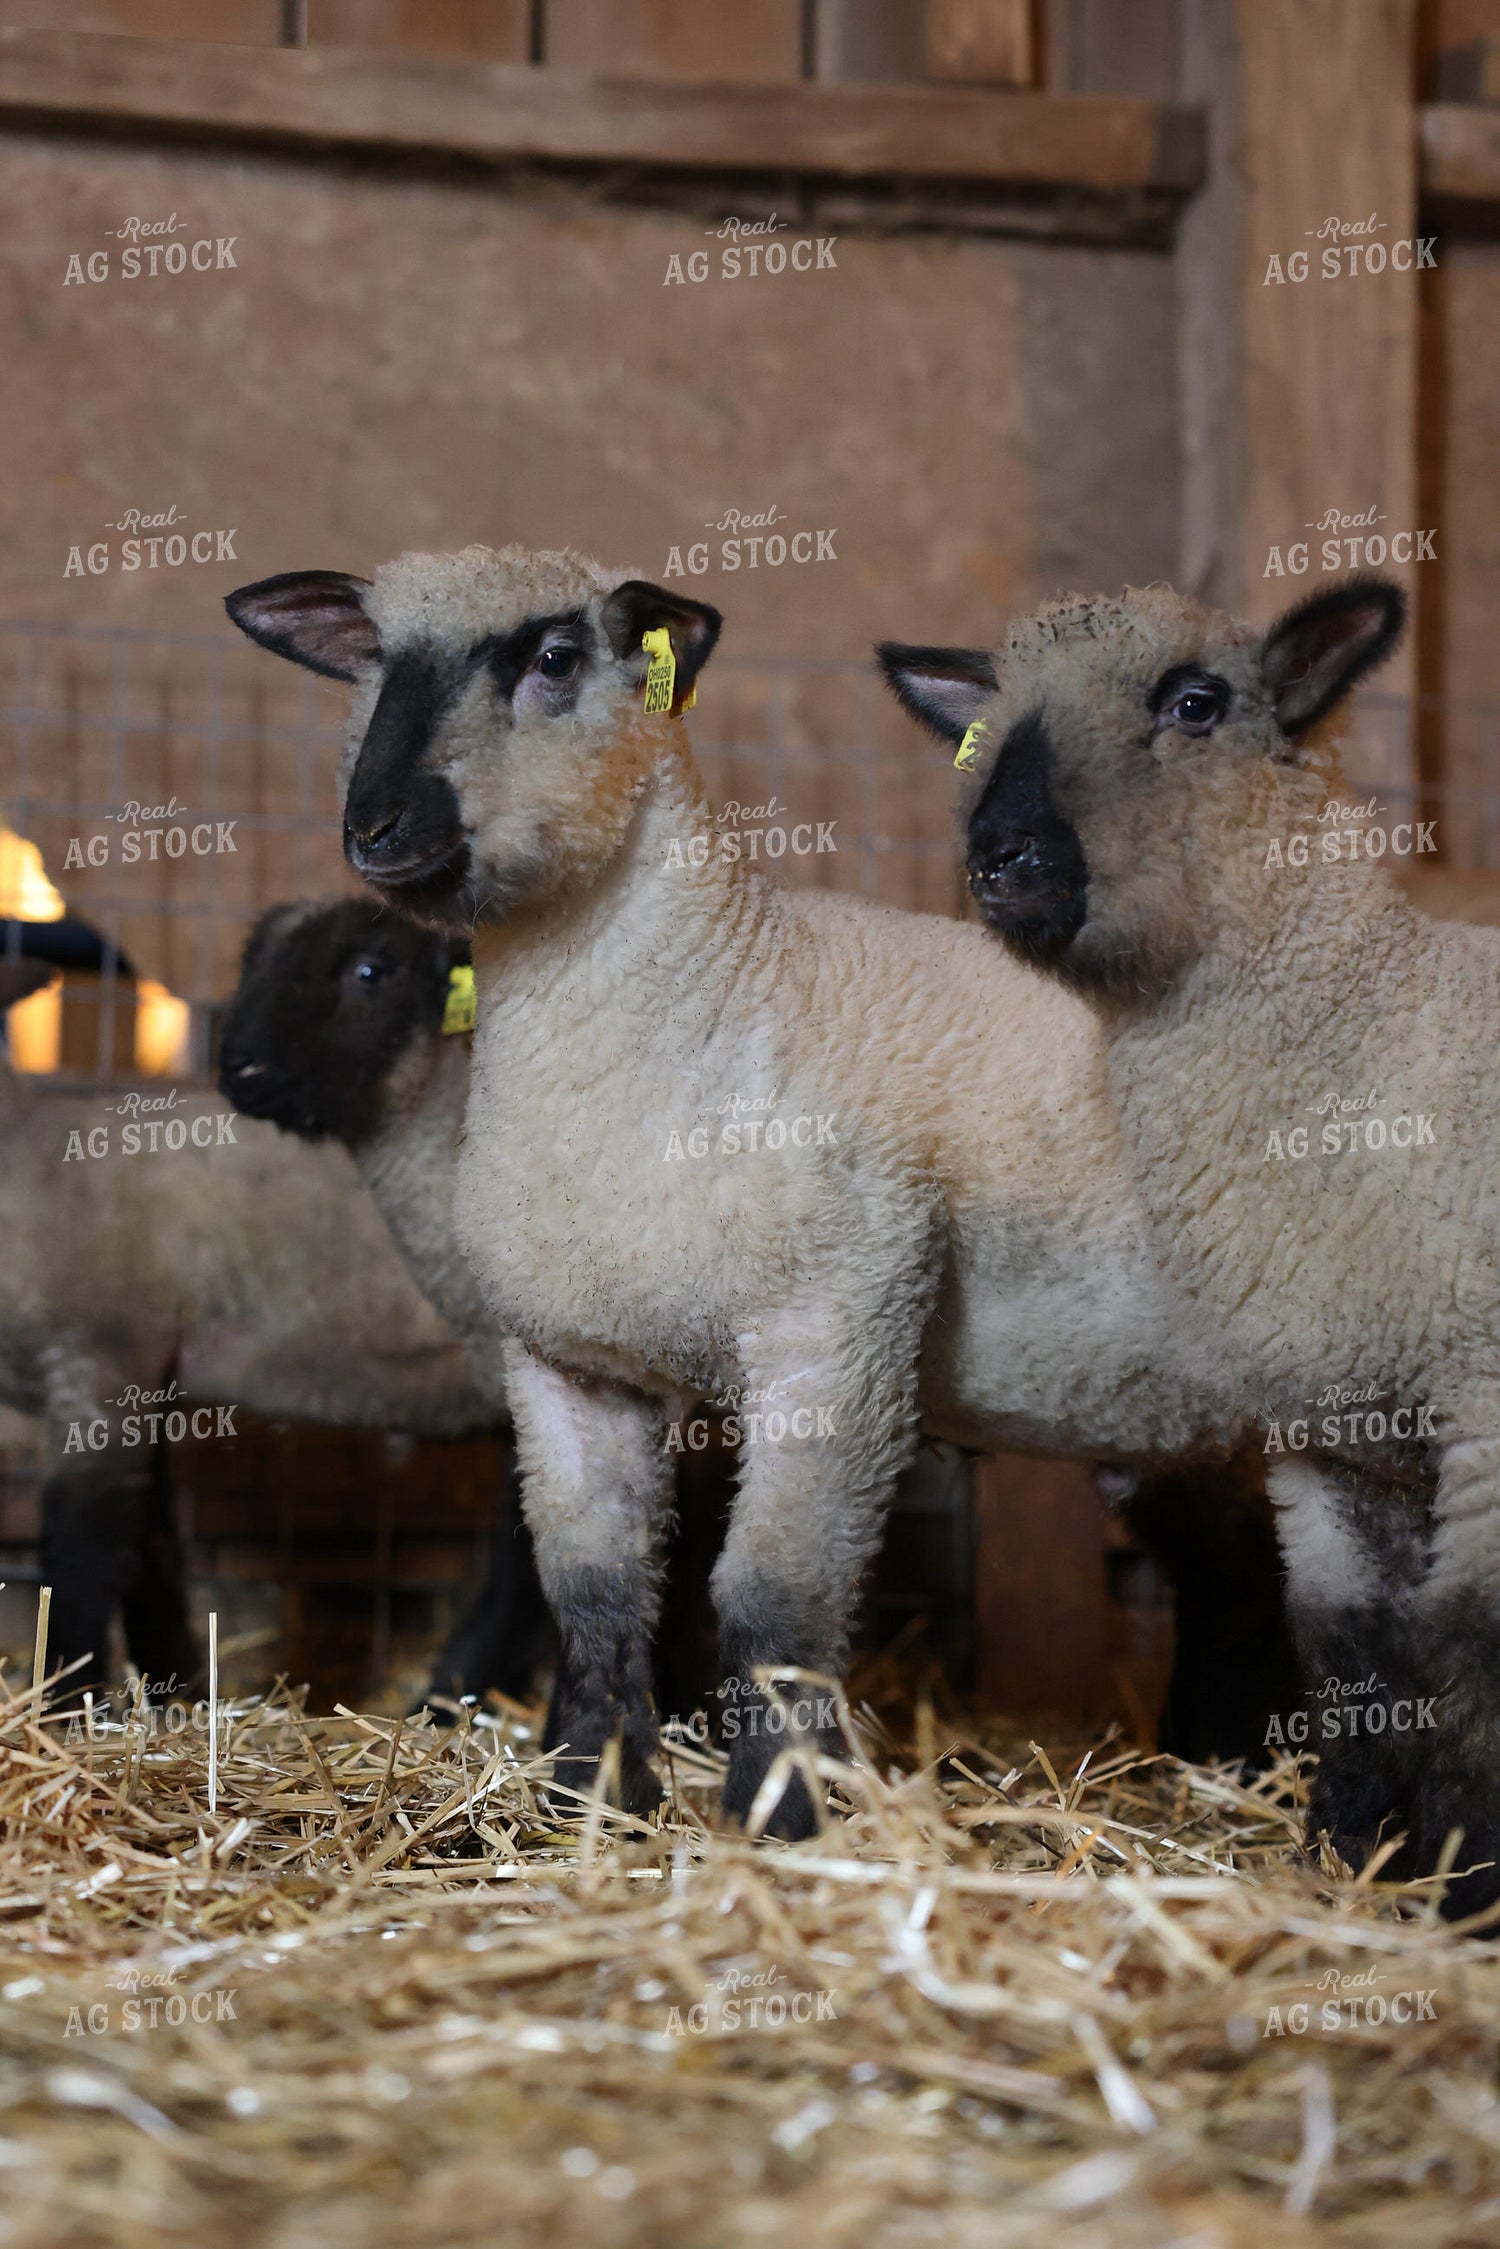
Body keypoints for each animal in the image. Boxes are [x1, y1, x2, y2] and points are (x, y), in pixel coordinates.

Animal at [0, 952, 496, 1699]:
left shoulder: (105, 1353)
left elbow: (83, 1549)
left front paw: (64, 1698)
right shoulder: (149, 1381)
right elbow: (151, 1547)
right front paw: (170, 1690)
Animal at [223, 544, 1256, 1839]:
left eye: (554, 657)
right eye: (369, 660)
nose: (376, 824)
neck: (725, 989)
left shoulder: (838, 1328)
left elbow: (770, 1596)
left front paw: (779, 1815)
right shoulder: (567, 1354)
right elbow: (596, 1587)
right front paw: (591, 1799)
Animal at [881, 576, 1500, 1915]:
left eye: (1196, 702)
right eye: (983, 727)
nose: (1000, 856)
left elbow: (1474, 1639)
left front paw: (1467, 1884)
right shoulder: (1332, 1430)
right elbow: (1356, 1653)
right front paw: (1352, 1857)